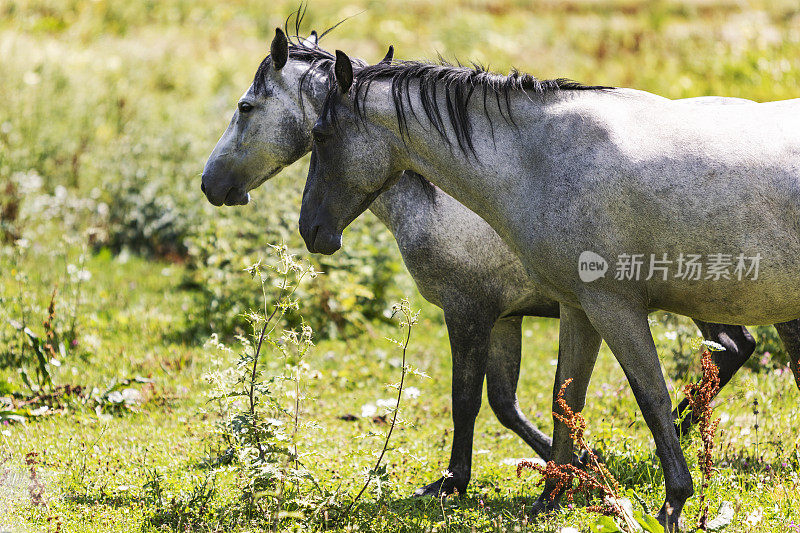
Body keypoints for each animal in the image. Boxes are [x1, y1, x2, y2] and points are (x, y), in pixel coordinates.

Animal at [298, 48, 800, 528]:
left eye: (319, 134)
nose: (310, 229)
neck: (542, 162)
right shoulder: (576, 309)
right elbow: (565, 400)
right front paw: (552, 496)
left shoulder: (608, 308)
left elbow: (650, 395)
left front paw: (672, 502)